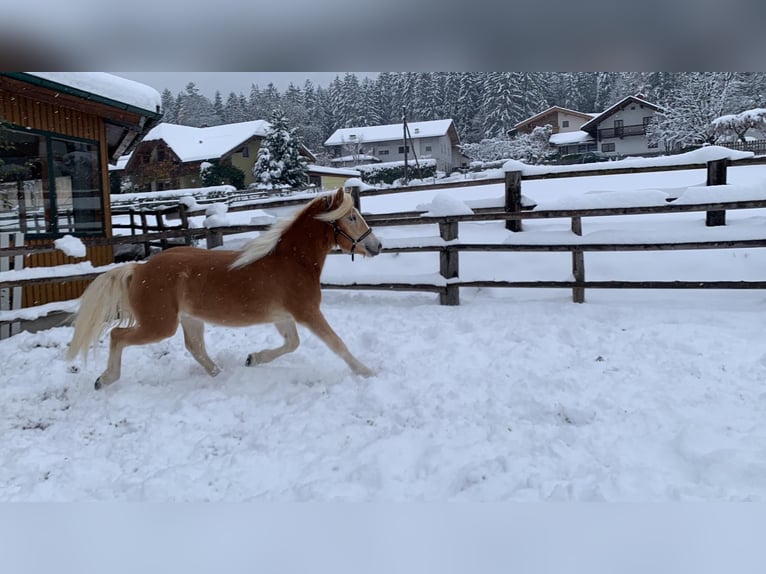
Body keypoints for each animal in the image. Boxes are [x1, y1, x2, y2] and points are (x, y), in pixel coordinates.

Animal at [67, 189, 384, 392]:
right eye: (351, 217)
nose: (377, 246)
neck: (292, 260)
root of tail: (140, 268)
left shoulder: (284, 317)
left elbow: (292, 344)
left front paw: (253, 359)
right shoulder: (307, 312)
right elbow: (336, 344)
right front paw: (367, 371)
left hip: (190, 319)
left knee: (195, 347)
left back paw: (220, 375)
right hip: (160, 325)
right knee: (118, 336)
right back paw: (104, 379)